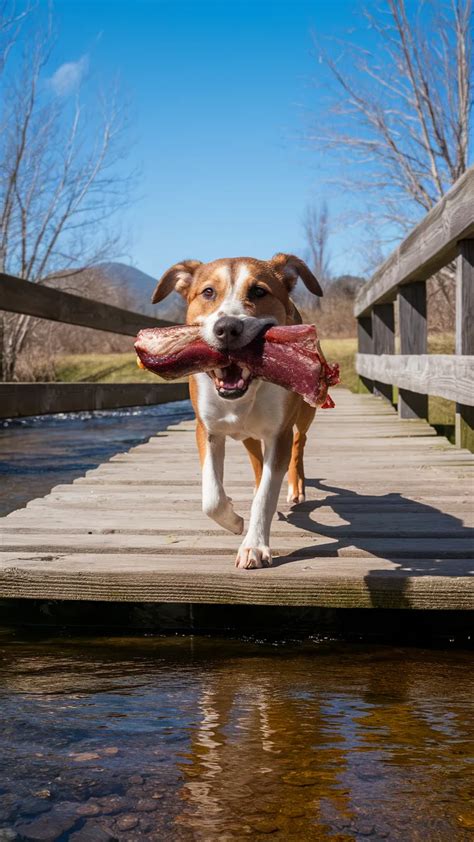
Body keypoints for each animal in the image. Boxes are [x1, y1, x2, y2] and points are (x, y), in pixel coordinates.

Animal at [152, 254, 322, 572]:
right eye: (208, 292)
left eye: (258, 291)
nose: (227, 328)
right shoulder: (207, 430)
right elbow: (212, 497)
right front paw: (233, 520)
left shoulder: (278, 435)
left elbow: (266, 494)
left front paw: (254, 545)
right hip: (249, 438)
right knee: (257, 464)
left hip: (306, 409)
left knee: (300, 441)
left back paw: (296, 486)